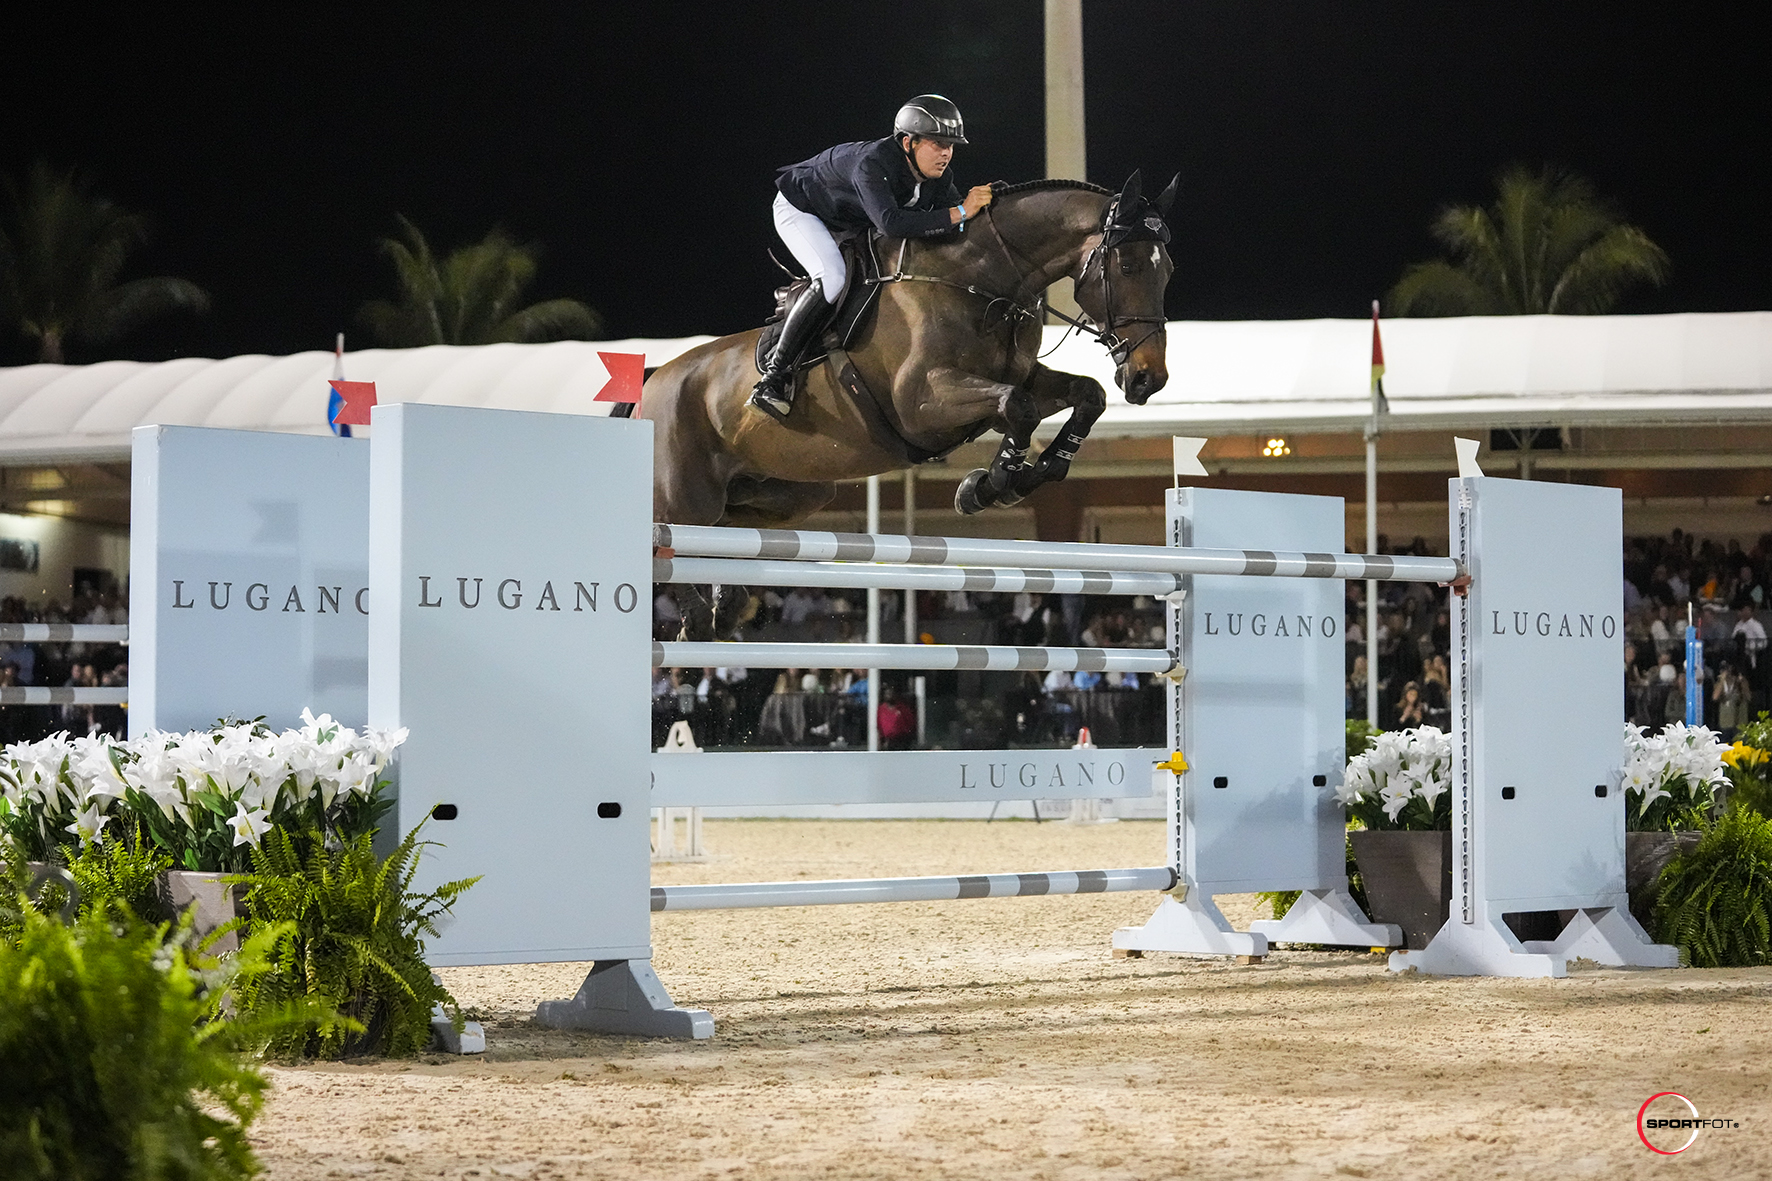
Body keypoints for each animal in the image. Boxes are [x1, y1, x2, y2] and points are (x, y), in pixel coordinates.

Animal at [641, 170, 1176, 528]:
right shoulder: (921, 402)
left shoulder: (1017, 377)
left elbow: (1085, 396)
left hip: (786, 494)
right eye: (1128, 267)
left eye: (1167, 269)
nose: (1149, 378)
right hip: (681, 507)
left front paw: (1033, 471)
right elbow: (1017, 406)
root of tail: (651, 385)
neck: (981, 281)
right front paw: (994, 484)